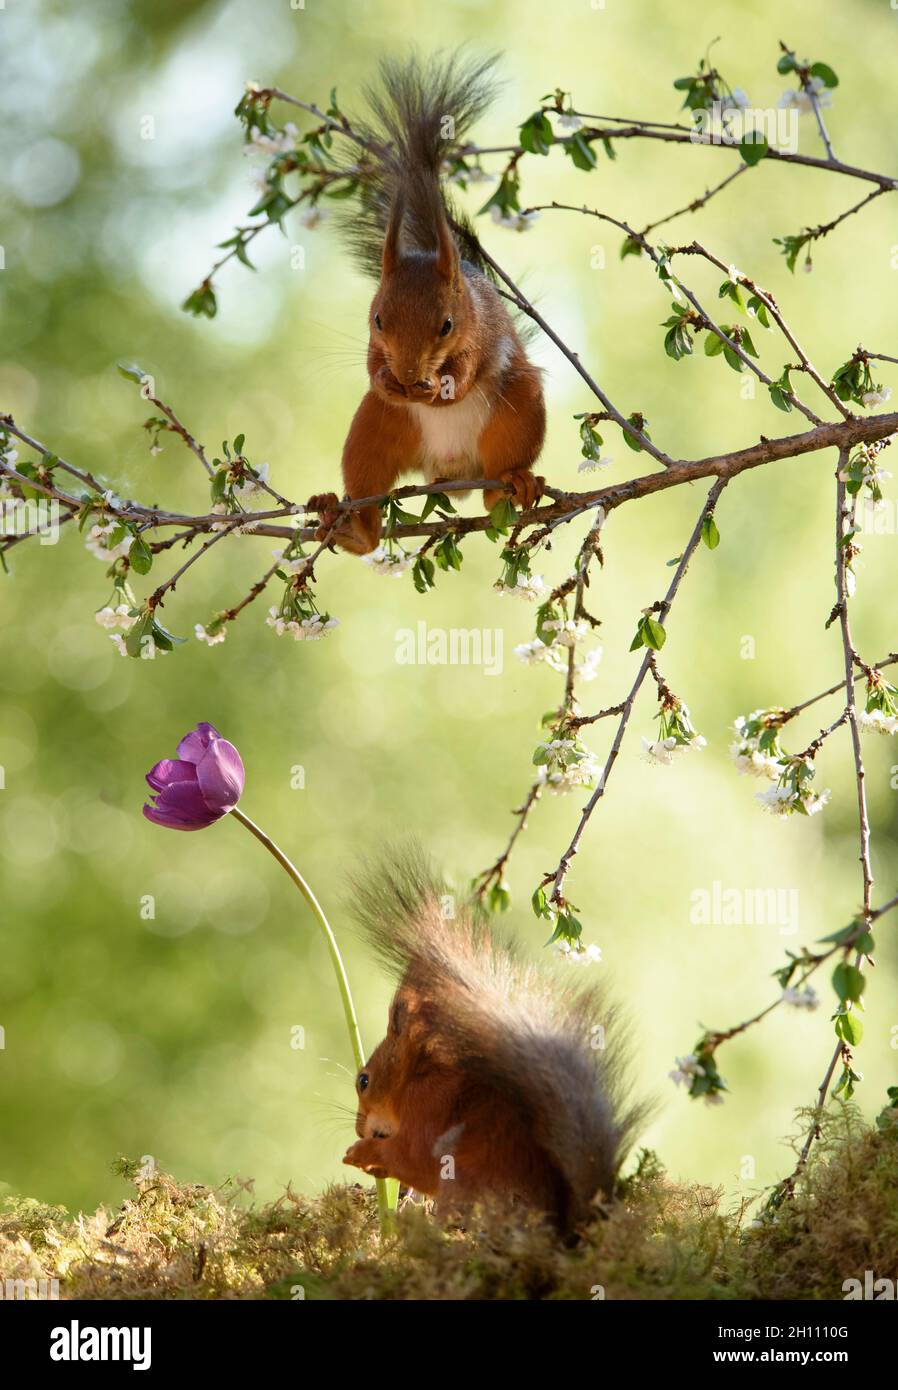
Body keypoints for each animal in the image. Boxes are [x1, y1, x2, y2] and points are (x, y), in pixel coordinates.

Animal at [309, 54, 547, 553]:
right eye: (378, 319)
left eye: (447, 325)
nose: (407, 375)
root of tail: (450, 470)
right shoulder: (373, 346)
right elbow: (371, 367)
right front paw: (386, 379)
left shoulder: (480, 334)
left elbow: (467, 371)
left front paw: (440, 388)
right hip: (374, 431)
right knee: (369, 509)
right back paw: (343, 522)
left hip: (518, 411)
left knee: (495, 492)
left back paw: (516, 484)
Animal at [341, 850, 645, 1234]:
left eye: (363, 1081)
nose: (358, 1127)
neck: (418, 1075)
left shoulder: (426, 1110)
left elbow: (411, 1158)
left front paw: (361, 1153)